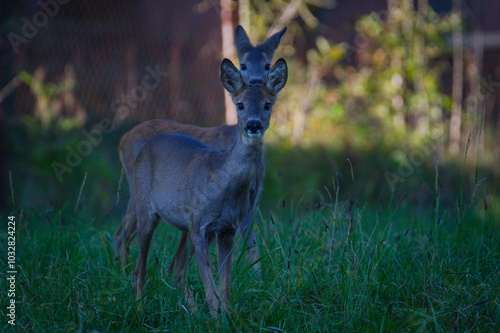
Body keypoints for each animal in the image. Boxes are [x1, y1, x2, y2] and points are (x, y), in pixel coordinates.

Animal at [113, 26, 286, 270]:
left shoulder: (251, 197)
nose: (255, 81)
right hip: (138, 185)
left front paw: (256, 273)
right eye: (243, 64)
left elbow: (249, 238)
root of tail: (122, 139)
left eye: (267, 64)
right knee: (123, 231)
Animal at [133, 57, 290, 314]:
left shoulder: (227, 229)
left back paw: (191, 309)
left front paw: (227, 315)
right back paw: (138, 310)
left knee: (177, 269)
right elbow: (210, 287)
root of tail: (148, 145)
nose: (253, 125)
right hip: (145, 208)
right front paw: (216, 316)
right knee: (141, 267)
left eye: (267, 104)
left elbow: (224, 285)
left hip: (184, 225)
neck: (222, 183)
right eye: (240, 105)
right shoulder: (201, 226)